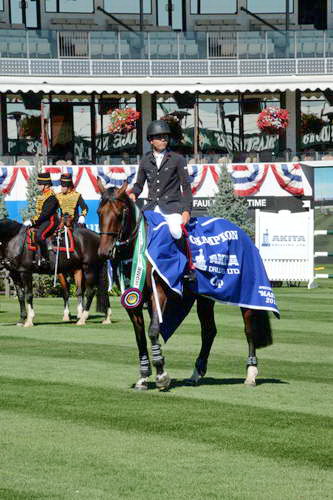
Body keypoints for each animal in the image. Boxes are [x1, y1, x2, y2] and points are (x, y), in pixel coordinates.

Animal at [96, 180, 272, 390]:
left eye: (119, 213)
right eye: (99, 212)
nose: (104, 252)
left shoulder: (159, 293)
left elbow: (153, 331)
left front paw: (161, 374)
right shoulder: (133, 299)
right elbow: (139, 336)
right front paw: (144, 376)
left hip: (246, 292)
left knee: (249, 329)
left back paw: (251, 373)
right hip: (205, 298)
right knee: (209, 331)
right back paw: (197, 373)